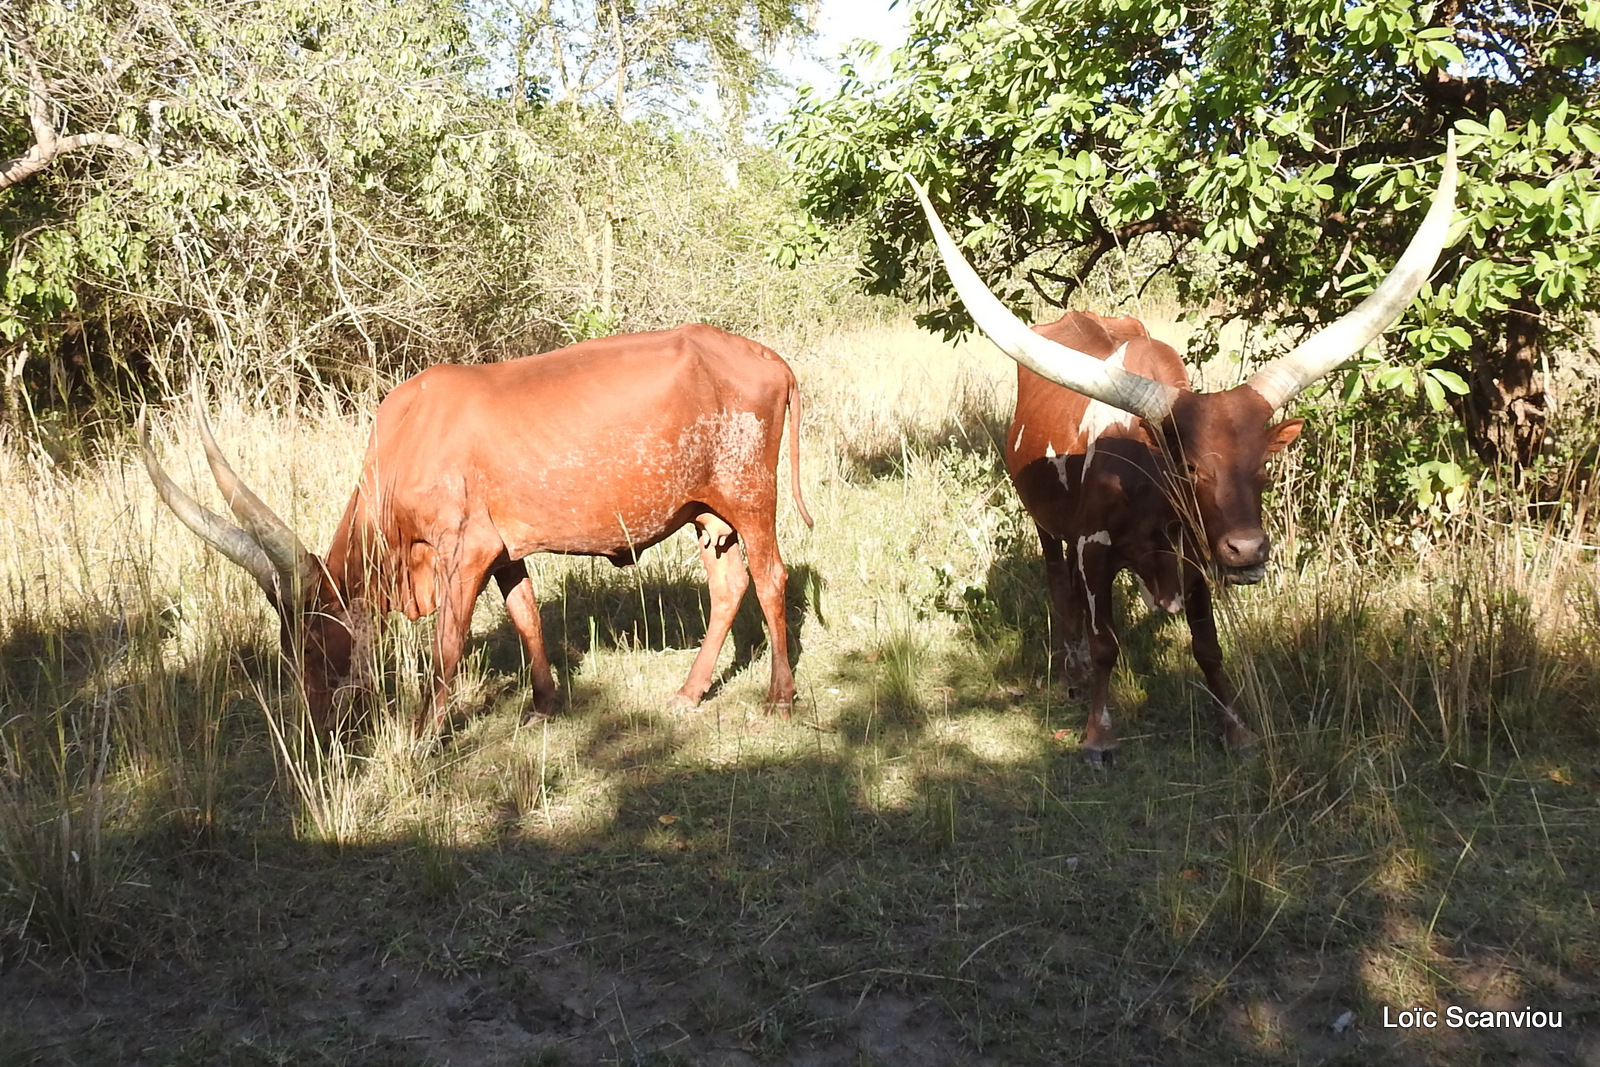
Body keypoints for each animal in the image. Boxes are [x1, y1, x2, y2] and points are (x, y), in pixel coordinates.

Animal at [140, 326, 812, 739]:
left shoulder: (464, 552)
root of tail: (773, 361)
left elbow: (447, 646)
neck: (405, 441)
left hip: (750, 498)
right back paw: (690, 692)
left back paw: (779, 696)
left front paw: (423, 732)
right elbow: (527, 616)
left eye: (312, 643)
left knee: (770, 579)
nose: (318, 728)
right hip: (706, 512)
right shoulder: (505, 550)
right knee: (728, 587)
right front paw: (543, 705)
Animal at [915, 137, 1452, 764]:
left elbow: (1208, 646)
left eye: (1264, 467)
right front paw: (1098, 736)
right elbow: (1105, 643)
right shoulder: (1096, 549)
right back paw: (1068, 671)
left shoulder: (1195, 557)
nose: (1247, 551)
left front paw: (1235, 728)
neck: (1146, 486)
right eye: (1189, 467)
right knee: (1058, 582)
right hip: (1045, 522)